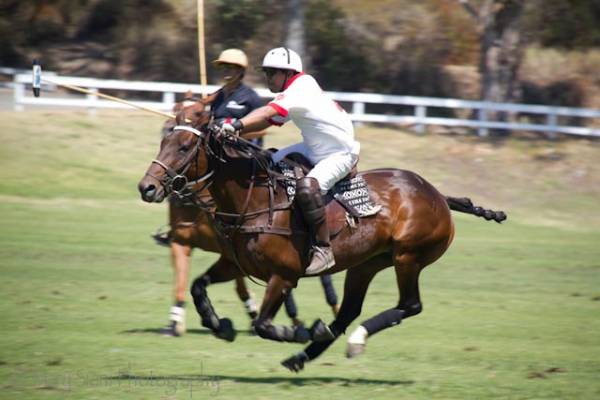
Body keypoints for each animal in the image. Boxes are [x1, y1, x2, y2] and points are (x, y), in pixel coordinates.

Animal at [139, 116, 506, 372]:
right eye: (163, 140)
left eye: (185, 147)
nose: (147, 187)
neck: (254, 199)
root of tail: (438, 195)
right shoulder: (234, 263)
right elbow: (198, 286)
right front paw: (220, 325)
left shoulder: (284, 275)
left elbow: (263, 325)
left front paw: (301, 330)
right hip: (366, 263)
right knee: (347, 312)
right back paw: (305, 354)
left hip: (408, 256)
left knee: (409, 305)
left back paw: (348, 339)